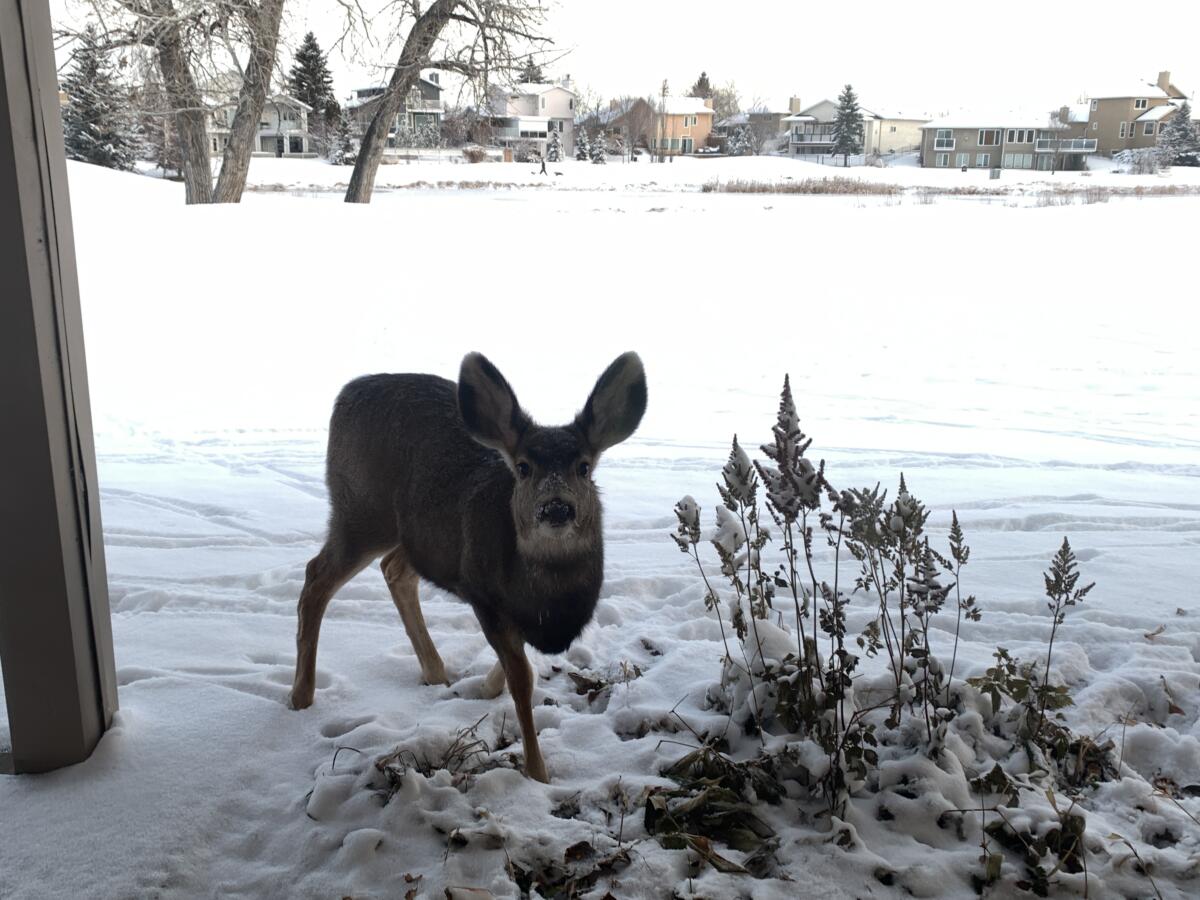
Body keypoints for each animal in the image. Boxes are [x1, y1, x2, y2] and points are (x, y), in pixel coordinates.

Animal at [288, 352, 647, 783]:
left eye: (583, 467)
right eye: (523, 467)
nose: (556, 507)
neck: (549, 598)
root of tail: (346, 392)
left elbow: (514, 669)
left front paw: (482, 691)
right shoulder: (482, 592)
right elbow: (522, 680)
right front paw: (538, 773)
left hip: (416, 533)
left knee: (393, 568)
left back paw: (436, 673)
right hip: (361, 509)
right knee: (316, 577)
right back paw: (301, 696)